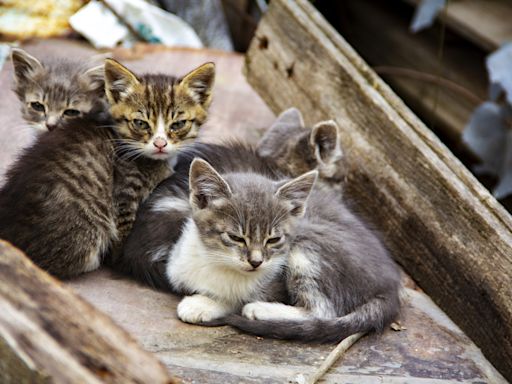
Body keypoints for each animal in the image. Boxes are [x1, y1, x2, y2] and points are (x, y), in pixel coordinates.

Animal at [0, 58, 215, 278]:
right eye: (140, 123)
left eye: (178, 124)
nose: (160, 144)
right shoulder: (125, 192)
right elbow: (124, 230)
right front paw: (120, 260)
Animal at [166, 159, 402, 342]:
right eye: (236, 237)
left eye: (274, 239)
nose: (256, 262)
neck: (216, 261)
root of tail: (389, 286)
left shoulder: (275, 283)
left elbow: (237, 297)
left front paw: (203, 304)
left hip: (308, 246)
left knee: (323, 311)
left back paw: (260, 310)